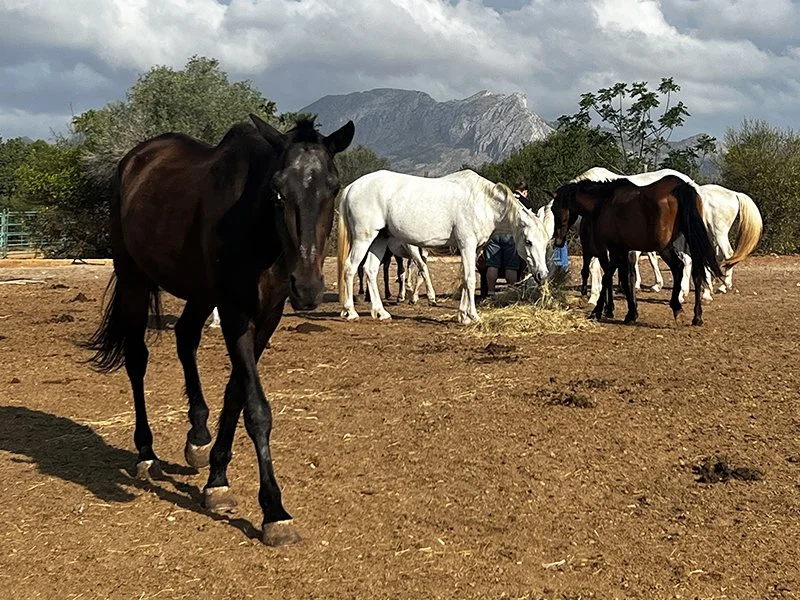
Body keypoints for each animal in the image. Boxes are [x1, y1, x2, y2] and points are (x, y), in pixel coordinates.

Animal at [84, 115, 355, 546]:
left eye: (333, 186)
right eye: (277, 191)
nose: (308, 287)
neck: (257, 232)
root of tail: (135, 158)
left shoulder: (266, 317)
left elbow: (236, 395)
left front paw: (217, 480)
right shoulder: (234, 312)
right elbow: (257, 409)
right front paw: (274, 511)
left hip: (197, 292)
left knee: (185, 339)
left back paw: (197, 435)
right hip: (133, 278)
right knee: (137, 359)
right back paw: (146, 452)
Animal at [337, 169, 550, 324]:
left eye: (546, 243)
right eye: (528, 242)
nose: (542, 274)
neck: (482, 203)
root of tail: (352, 187)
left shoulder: (474, 249)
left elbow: (465, 279)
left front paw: (463, 315)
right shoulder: (467, 245)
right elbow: (470, 280)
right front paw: (473, 316)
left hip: (380, 239)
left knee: (370, 270)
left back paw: (380, 312)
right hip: (364, 238)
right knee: (350, 268)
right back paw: (351, 312)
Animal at [552, 174, 723, 325]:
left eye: (555, 209)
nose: (558, 241)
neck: (603, 202)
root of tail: (679, 186)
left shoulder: (613, 248)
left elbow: (609, 276)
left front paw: (599, 311)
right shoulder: (623, 250)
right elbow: (626, 277)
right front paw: (631, 313)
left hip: (664, 248)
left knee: (678, 267)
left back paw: (677, 307)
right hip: (690, 240)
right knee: (696, 273)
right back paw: (696, 316)